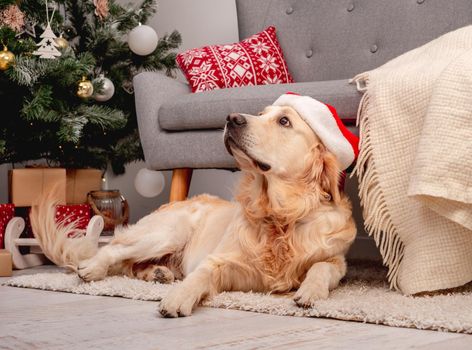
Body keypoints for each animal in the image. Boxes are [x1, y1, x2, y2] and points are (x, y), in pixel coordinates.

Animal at [30, 104, 354, 318]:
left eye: (284, 121)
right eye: (261, 114)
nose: (231, 118)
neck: (281, 216)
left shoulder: (336, 261)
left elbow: (322, 266)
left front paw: (310, 291)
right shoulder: (219, 260)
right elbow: (200, 275)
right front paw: (178, 298)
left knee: (130, 265)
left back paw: (158, 273)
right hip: (166, 232)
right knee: (113, 250)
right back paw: (93, 268)